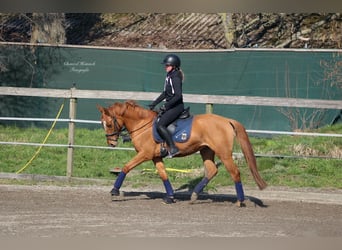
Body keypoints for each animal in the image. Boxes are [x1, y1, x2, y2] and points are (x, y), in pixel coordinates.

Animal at [97, 99, 268, 205]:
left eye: (109, 124)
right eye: (102, 123)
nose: (111, 143)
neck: (142, 125)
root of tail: (226, 120)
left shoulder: (145, 154)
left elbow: (126, 167)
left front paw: (114, 191)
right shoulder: (156, 157)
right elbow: (163, 175)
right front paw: (170, 197)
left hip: (224, 153)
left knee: (235, 173)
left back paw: (240, 201)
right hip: (206, 151)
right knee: (211, 170)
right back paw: (194, 195)